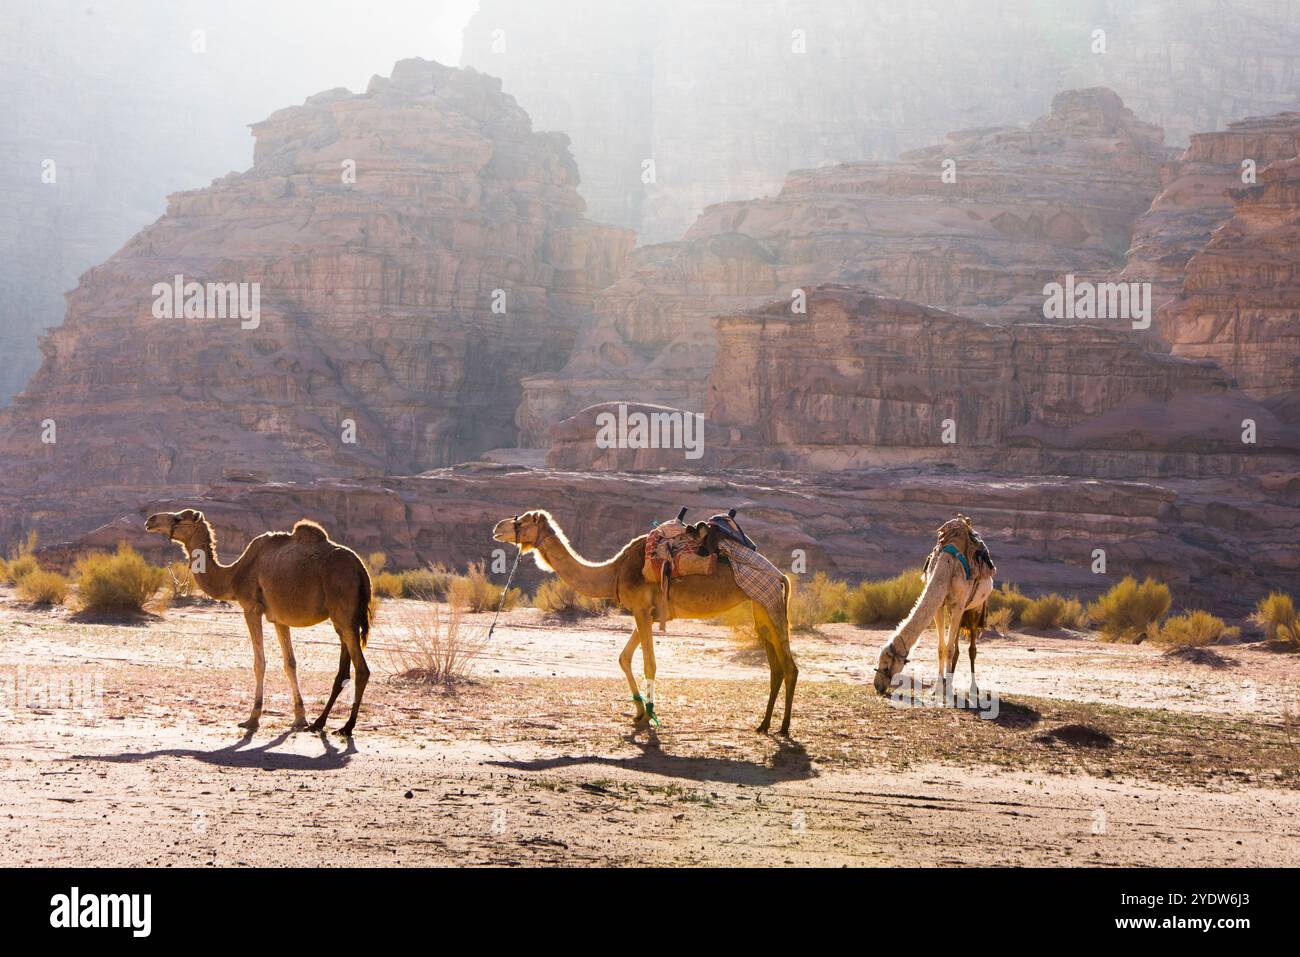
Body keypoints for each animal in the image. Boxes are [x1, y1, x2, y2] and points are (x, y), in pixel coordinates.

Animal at [145, 509, 373, 736]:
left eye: (178, 518)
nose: (150, 520)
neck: (233, 574)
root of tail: (361, 569)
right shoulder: (279, 618)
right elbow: (290, 664)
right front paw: (300, 718)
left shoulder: (251, 608)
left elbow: (259, 663)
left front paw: (252, 718)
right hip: (344, 620)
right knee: (343, 670)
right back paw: (319, 722)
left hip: (344, 612)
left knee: (362, 669)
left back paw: (347, 727)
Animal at [492, 510, 798, 733]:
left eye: (521, 520)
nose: (497, 527)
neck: (614, 571)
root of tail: (780, 575)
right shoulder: (647, 614)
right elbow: (624, 658)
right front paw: (639, 712)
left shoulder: (640, 610)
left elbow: (649, 664)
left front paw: (649, 717)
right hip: (760, 604)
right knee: (775, 665)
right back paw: (763, 725)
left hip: (769, 599)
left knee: (790, 666)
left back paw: (783, 729)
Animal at [873, 515, 995, 701]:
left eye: (887, 665)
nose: (877, 686)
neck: (947, 565)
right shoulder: (941, 606)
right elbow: (942, 648)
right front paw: (937, 688)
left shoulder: (959, 604)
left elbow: (950, 649)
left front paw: (949, 690)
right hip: (957, 611)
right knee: (956, 646)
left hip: (975, 609)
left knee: (972, 648)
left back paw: (973, 689)